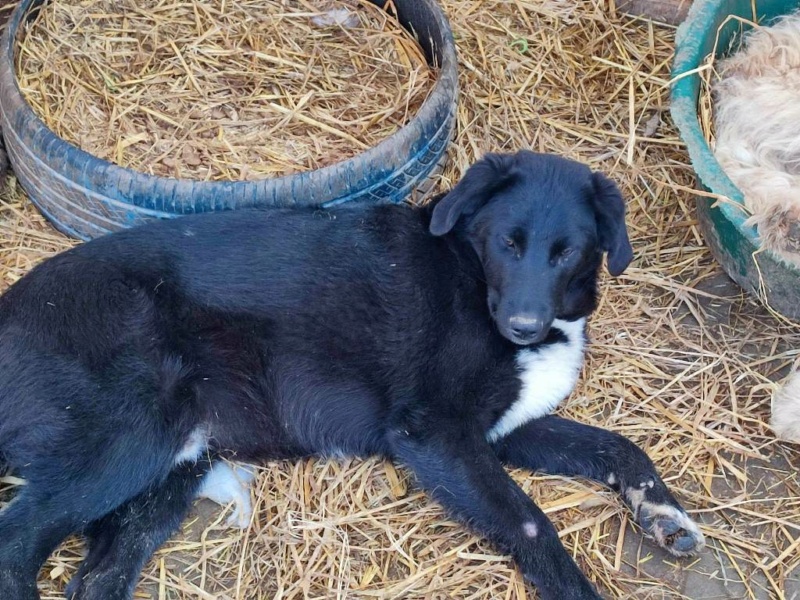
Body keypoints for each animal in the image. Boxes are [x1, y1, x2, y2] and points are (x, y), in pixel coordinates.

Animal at [0, 149, 700, 596]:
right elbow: (531, 520)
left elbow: (618, 446)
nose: (523, 327)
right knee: (14, 550)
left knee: (94, 578)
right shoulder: (434, 433)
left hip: (173, 466)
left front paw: (663, 513)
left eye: (567, 252)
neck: (472, 274)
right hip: (130, 434)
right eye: (509, 242)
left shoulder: (500, 429)